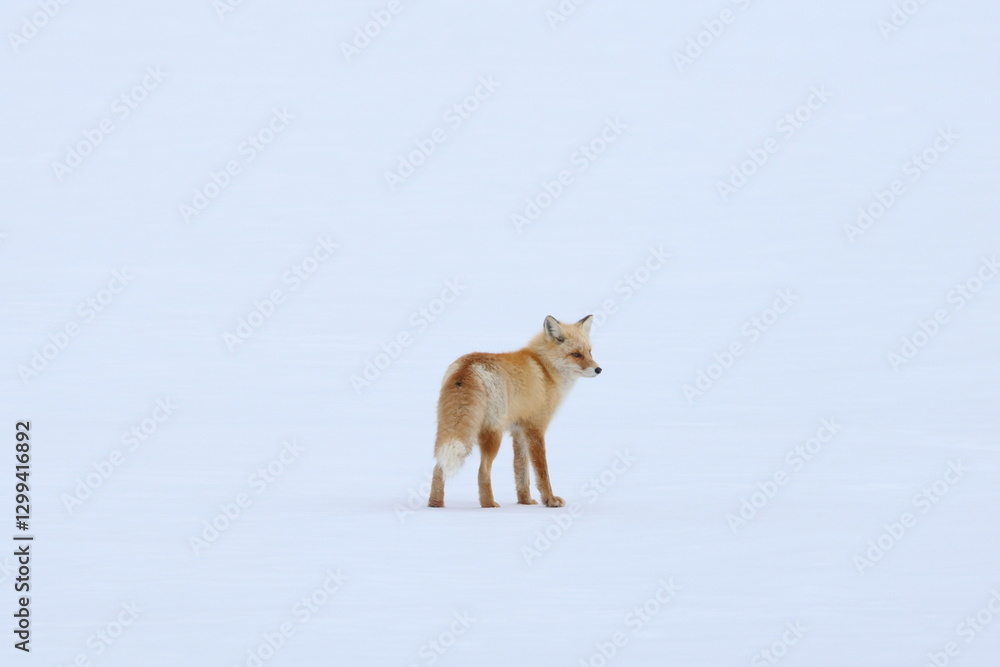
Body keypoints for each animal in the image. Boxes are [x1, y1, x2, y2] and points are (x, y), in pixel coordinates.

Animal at [427, 315, 601, 509]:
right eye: (576, 354)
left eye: (589, 352)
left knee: (438, 467)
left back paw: (436, 504)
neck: (545, 369)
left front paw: (525, 501)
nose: (598, 369)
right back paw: (489, 504)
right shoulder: (535, 428)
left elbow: (521, 471)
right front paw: (550, 500)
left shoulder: (519, 430)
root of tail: (468, 367)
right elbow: (542, 471)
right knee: (483, 470)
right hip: (493, 434)